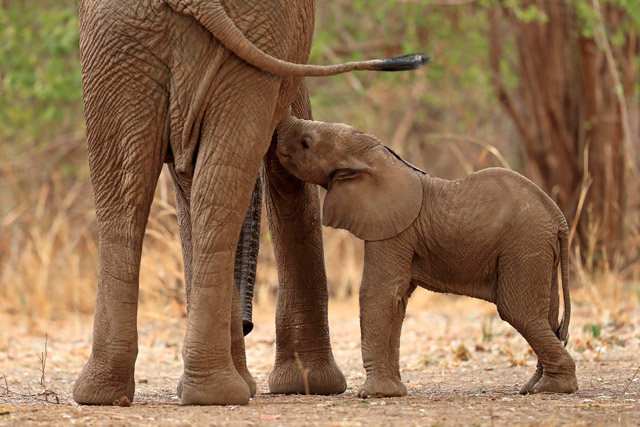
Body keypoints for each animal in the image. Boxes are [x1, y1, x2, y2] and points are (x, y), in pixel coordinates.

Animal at [73, 0, 428, 406]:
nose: (247, 326)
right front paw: (307, 385)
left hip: (126, 36)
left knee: (144, 191)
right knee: (169, 186)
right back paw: (205, 391)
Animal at [275, 116, 579, 398]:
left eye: (305, 143)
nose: (279, 128)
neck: (376, 157)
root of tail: (558, 219)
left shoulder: (394, 230)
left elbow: (378, 293)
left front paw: (373, 394)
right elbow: (397, 300)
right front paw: (393, 392)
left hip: (524, 243)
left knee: (517, 310)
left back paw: (553, 388)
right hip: (538, 246)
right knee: (547, 314)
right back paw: (534, 386)